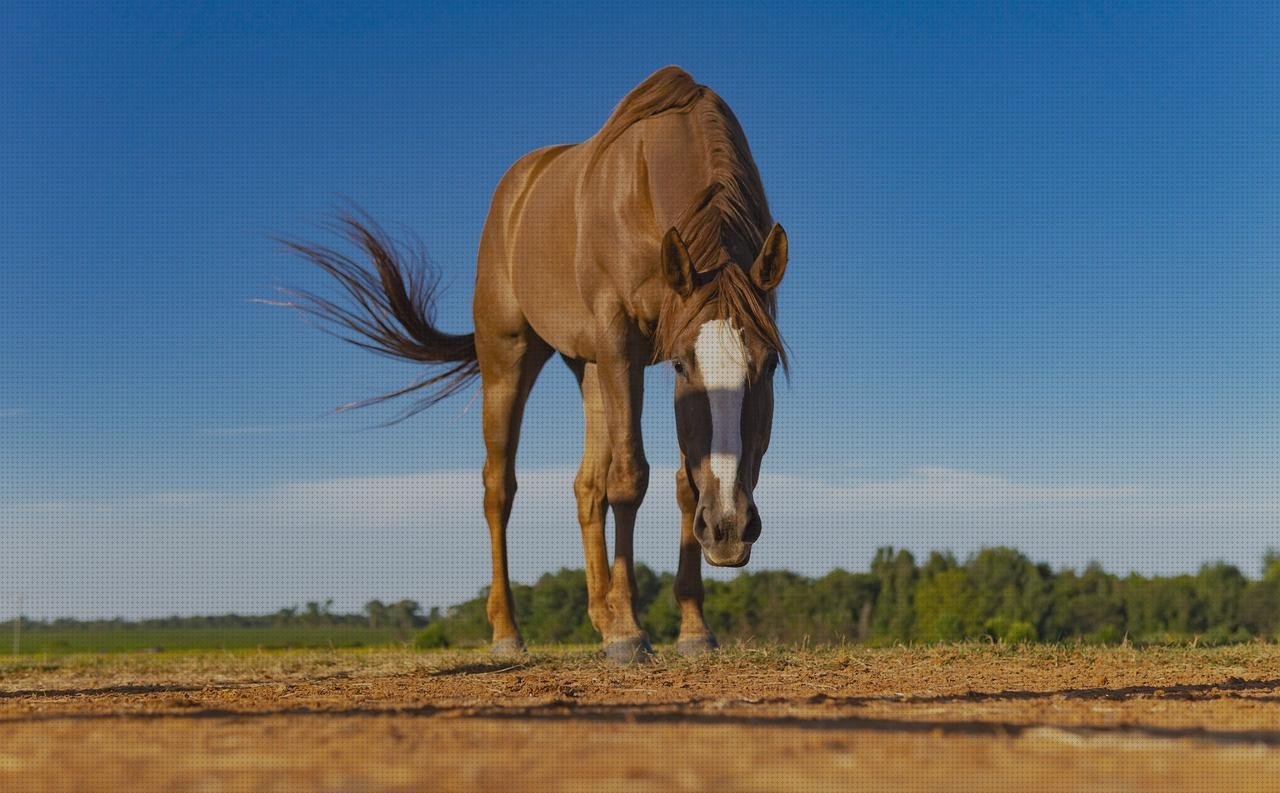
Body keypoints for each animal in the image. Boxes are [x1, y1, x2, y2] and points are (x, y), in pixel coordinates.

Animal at [275, 68, 783, 665]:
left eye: (768, 366)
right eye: (682, 365)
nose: (729, 527)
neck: (648, 184)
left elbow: (683, 480)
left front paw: (691, 627)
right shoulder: (623, 342)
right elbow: (630, 479)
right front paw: (631, 631)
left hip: (588, 366)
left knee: (587, 486)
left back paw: (600, 616)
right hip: (511, 358)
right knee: (501, 488)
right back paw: (509, 631)